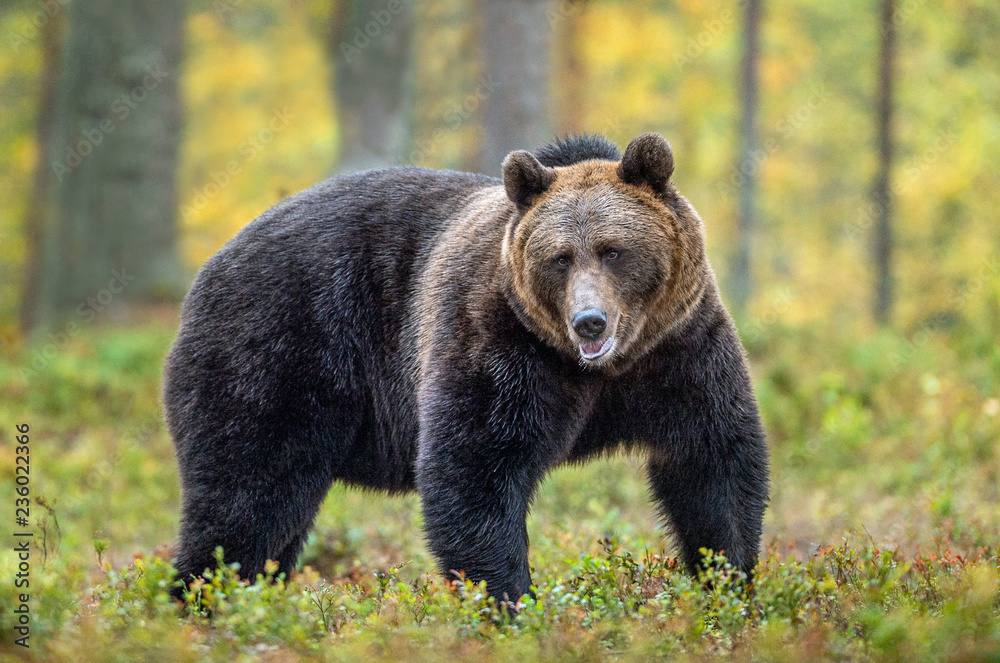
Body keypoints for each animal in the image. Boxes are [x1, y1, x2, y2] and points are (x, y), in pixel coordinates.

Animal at [168, 134, 768, 608]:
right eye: (560, 258)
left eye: (613, 250)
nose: (589, 321)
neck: (599, 368)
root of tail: (209, 267)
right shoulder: (498, 340)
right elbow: (474, 468)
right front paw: (512, 602)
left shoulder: (679, 348)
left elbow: (712, 460)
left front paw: (731, 584)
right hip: (280, 351)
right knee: (245, 496)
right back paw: (203, 601)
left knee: (277, 522)